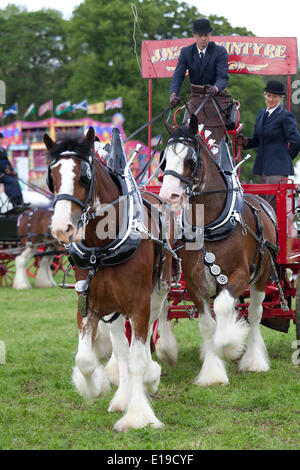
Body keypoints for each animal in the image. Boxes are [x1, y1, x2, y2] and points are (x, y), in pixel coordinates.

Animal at [43, 126, 172, 432]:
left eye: (84, 175)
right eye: (52, 176)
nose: (62, 228)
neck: (102, 248)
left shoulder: (139, 304)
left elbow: (137, 358)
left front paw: (138, 415)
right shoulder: (88, 301)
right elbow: (85, 359)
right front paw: (96, 387)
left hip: (156, 294)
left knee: (145, 338)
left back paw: (149, 377)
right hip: (113, 307)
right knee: (121, 348)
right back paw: (122, 395)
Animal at [158, 114, 278, 386]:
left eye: (190, 160)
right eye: (164, 160)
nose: (168, 196)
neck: (210, 227)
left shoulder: (240, 275)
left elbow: (225, 308)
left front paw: (229, 345)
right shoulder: (194, 283)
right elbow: (207, 324)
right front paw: (212, 371)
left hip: (262, 276)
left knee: (255, 313)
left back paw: (253, 360)